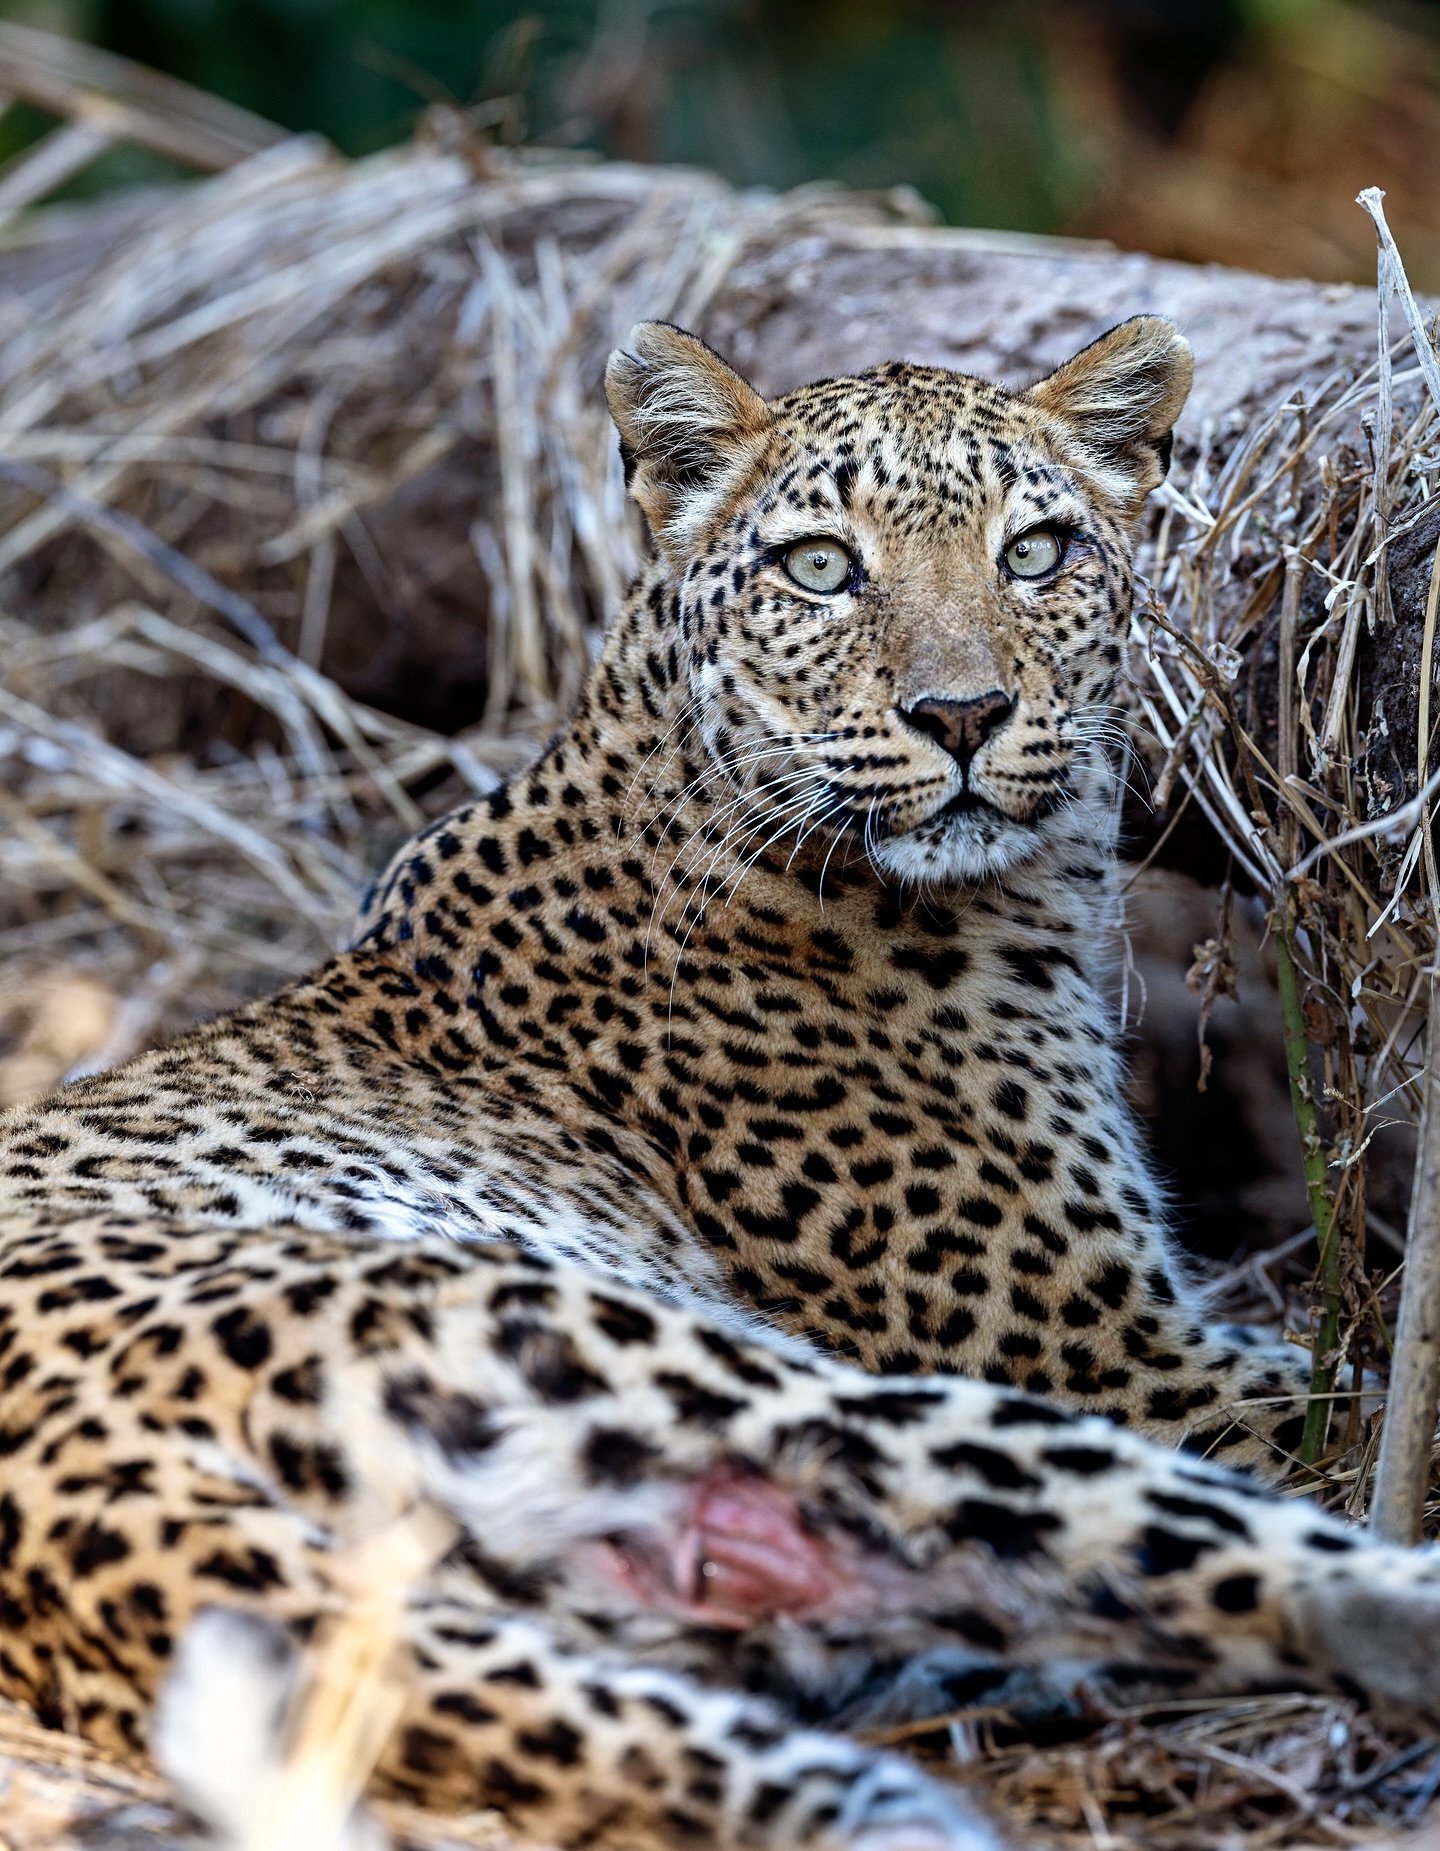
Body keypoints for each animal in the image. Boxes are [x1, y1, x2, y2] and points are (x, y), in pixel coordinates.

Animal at [1, 316, 1433, 1851]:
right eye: (820, 567)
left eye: (1037, 551)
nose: (964, 714)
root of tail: (71, 1485)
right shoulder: (1120, 1355)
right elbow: (1349, 1407)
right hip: (773, 1383)